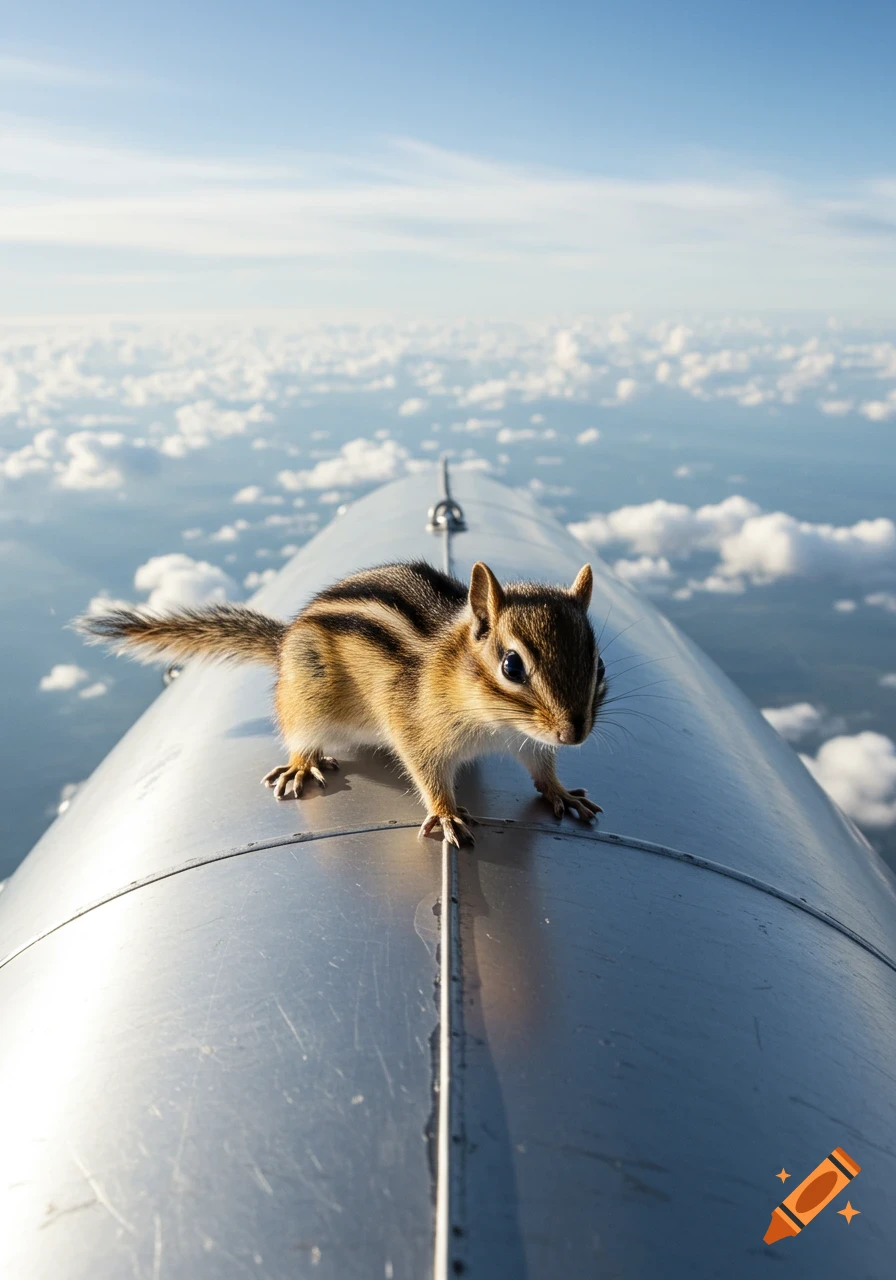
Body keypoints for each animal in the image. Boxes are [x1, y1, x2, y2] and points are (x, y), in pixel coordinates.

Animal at [76, 559, 606, 847]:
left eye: (597, 661)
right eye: (512, 666)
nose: (573, 733)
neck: (493, 721)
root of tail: (284, 640)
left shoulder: (529, 741)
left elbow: (542, 769)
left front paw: (562, 793)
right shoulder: (414, 725)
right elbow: (426, 771)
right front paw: (446, 813)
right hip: (306, 700)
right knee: (298, 735)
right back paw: (300, 764)